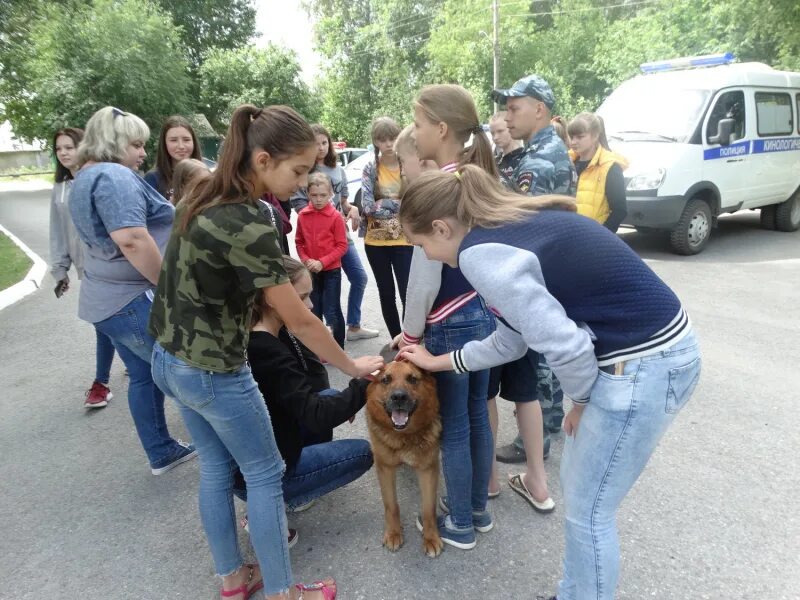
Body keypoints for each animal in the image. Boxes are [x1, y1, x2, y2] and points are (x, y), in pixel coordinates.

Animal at [364, 356, 440, 556]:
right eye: (386, 380)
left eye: (412, 379)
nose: (399, 397)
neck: (404, 436)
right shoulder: (385, 467)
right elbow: (391, 505)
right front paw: (393, 533)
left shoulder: (428, 469)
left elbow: (428, 508)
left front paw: (431, 538)